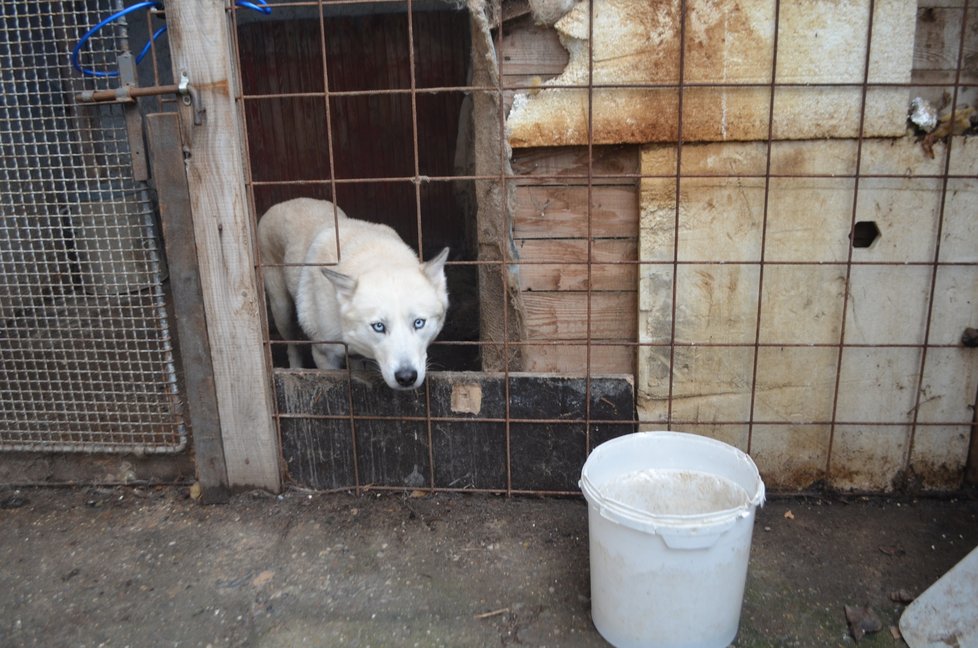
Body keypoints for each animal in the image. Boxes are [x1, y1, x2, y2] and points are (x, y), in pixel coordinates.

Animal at [255, 199, 446, 390]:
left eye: (419, 323)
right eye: (378, 326)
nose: (406, 377)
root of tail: (288, 202)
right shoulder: (324, 355)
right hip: (282, 312)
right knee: (291, 344)